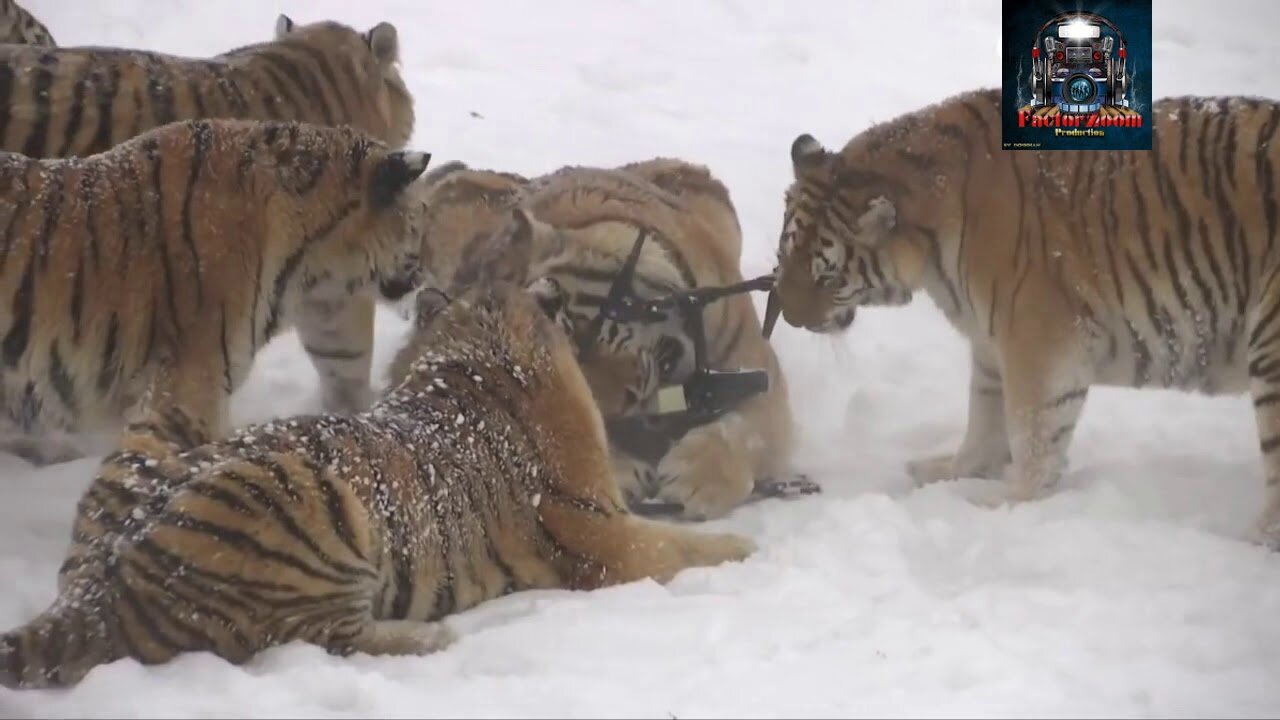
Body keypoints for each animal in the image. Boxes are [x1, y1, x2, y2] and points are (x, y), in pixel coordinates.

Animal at [0, 260, 752, 686]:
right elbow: (686, 547)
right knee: (313, 636)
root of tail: (102, 587)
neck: (478, 346)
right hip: (311, 514)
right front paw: (749, 549)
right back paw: (428, 637)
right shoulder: (604, 534)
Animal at [768, 85, 1280, 543]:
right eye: (784, 254)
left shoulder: (1039, 340)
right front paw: (953, 470)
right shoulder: (991, 343)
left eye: (827, 278)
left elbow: (1034, 432)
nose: (789, 318)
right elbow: (984, 419)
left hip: (1269, 348)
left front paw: (1004, 504)